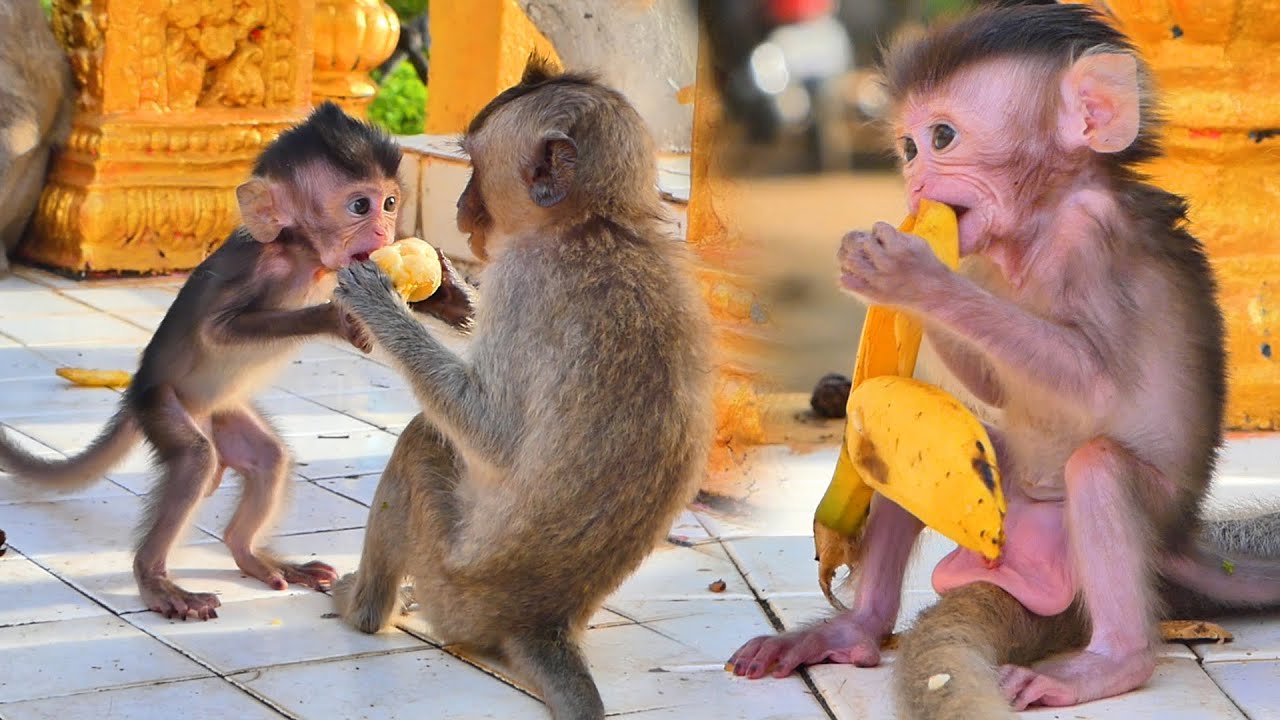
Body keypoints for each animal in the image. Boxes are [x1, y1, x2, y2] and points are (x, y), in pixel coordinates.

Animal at [0, 102, 426, 621]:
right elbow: (217, 331)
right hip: (162, 405)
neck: (300, 255)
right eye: (360, 206)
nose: (385, 229)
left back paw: (249, 553)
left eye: (390, 202)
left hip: (222, 414)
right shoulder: (260, 270)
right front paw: (337, 316)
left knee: (268, 458)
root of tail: (136, 390)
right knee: (196, 460)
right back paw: (156, 581)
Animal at [329, 57, 714, 720]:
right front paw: (449, 293)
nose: (462, 205)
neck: (600, 226)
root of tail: (543, 622)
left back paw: (362, 610)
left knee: (421, 442)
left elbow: (492, 434)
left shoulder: (523, 280)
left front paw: (382, 304)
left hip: (450, 582)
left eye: (475, 167)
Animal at [729, 5, 1280, 718]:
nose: (916, 183)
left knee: (1099, 467)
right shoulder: (985, 262)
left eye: (941, 137)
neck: (1038, 225)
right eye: (908, 148)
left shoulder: (1093, 239)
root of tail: (1181, 539)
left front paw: (910, 276)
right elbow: (987, 380)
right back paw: (854, 629)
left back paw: (1111, 662)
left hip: (1131, 523)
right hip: (995, 495)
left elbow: (1094, 386)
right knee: (911, 444)